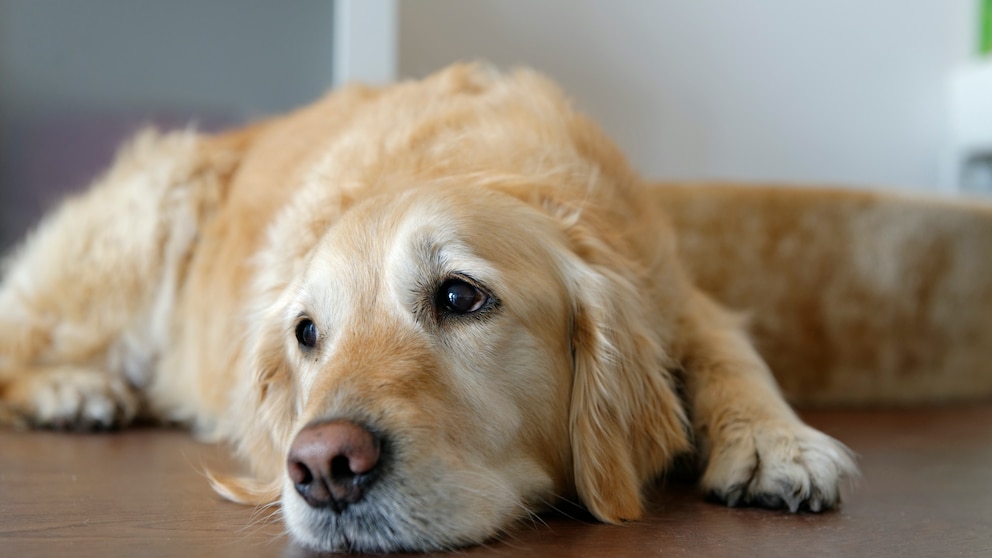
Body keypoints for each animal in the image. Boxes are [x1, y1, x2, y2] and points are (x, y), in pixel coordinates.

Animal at [0, 63, 852, 552]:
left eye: (459, 296)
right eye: (307, 332)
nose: (323, 468)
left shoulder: (675, 294)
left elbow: (732, 351)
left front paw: (777, 442)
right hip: (139, 231)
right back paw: (75, 391)